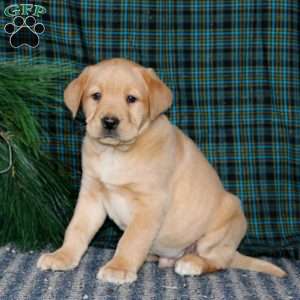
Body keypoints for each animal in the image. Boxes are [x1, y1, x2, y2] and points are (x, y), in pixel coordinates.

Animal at [37, 58, 286, 284]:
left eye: (131, 99)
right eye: (96, 96)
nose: (109, 122)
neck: (116, 152)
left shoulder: (151, 204)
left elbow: (131, 239)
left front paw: (119, 267)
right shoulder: (91, 195)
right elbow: (76, 229)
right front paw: (62, 256)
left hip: (226, 220)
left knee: (218, 261)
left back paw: (192, 263)